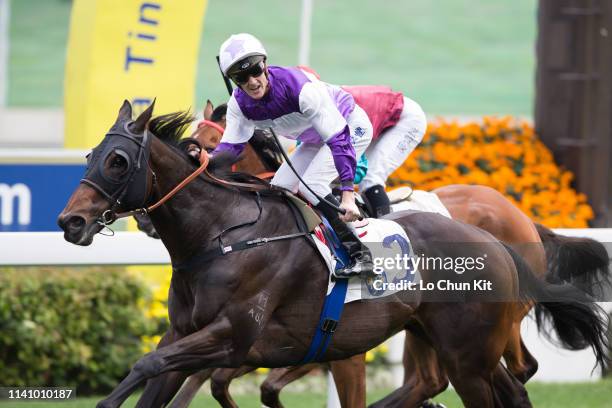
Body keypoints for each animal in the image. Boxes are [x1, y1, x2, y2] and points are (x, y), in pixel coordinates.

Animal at [58, 99, 608, 408]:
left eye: (117, 160)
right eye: (88, 155)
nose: (70, 222)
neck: (224, 233)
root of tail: (504, 238)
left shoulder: (237, 335)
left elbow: (151, 364)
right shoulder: (194, 336)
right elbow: (166, 374)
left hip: (467, 356)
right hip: (451, 343)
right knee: (505, 387)